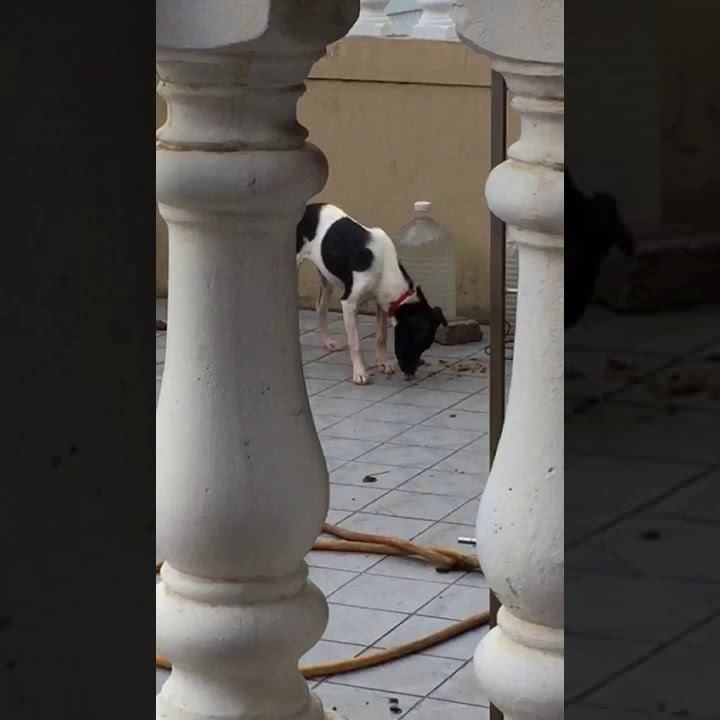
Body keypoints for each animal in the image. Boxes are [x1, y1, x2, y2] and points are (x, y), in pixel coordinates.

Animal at [296, 204, 444, 382]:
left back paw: (328, 342)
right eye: (415, 341)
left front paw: (383, 363)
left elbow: (381, 336)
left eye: (424, 347)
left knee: (321, 307)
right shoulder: (349, 303)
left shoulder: (381, 302)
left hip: (326, 278)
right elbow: (355, 343)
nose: (410, 373)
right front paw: (360, 372)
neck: (383, 266)